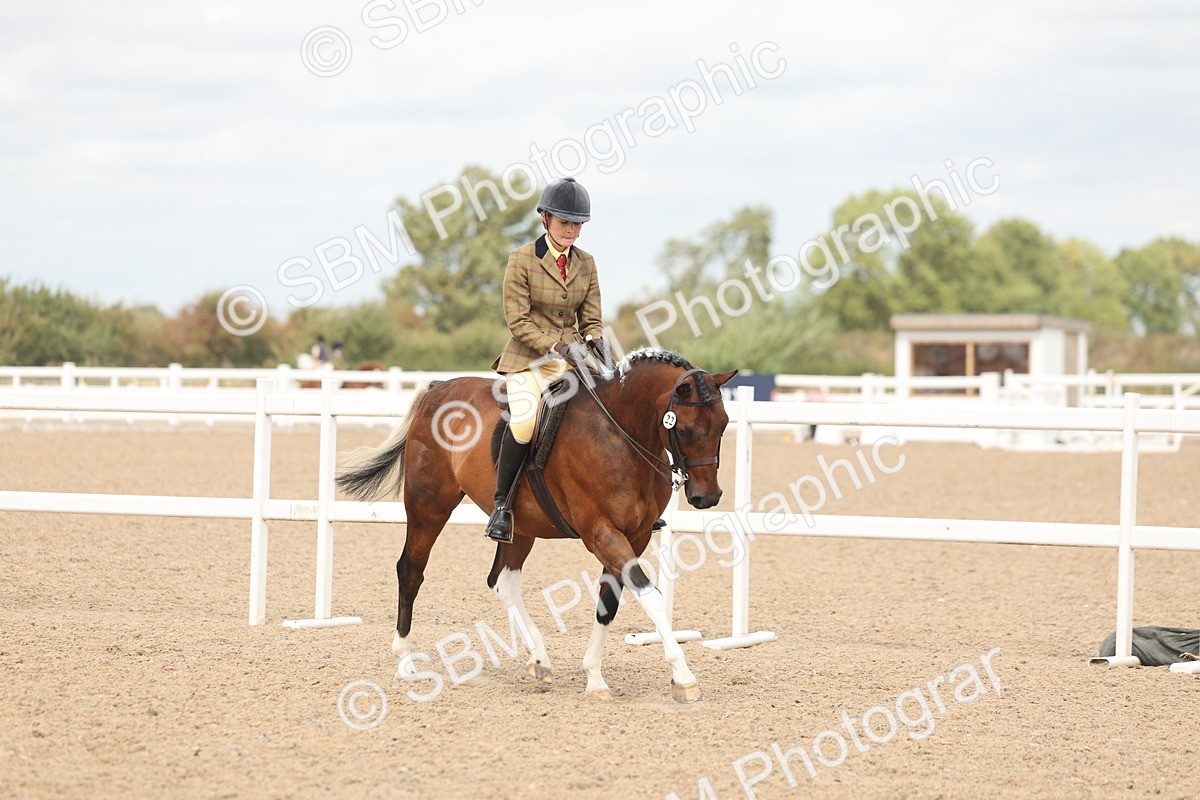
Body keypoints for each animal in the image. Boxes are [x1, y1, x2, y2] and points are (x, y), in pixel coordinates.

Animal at [336, 348, 737, 703]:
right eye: (684, 429)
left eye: (723, 425)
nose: (708, 497)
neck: (619, 433)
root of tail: (437, 389)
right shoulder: (602, 533)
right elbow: (648, 594)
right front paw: (683, 677)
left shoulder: (634, 537)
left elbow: (609, 602)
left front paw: (594, 678)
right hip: (428, 505)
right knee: (411, 570)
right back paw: (406, 661)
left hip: (520, 526)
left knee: (502, 581)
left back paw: (540, 659)